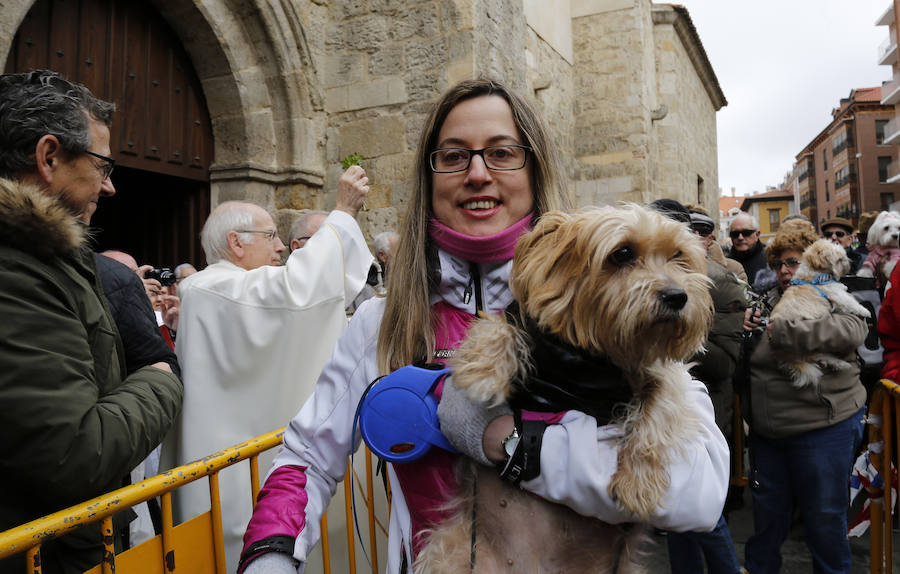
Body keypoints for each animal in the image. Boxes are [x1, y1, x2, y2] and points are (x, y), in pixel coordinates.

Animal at [414, 207, 716, 574]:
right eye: (623, 253)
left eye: (679, 256)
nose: (677, 296)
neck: (588, 358)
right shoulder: (528, 325)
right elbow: (497, 324)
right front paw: (484, 369)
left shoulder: (665, 375)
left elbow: (660, 408)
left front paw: (637, 484)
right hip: (452, 548)